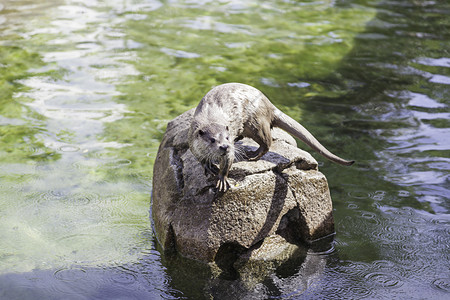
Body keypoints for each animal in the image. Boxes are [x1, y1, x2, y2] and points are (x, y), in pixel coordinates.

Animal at [187, 82, 356, 192]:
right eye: (213, 140)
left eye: (227, 138)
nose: (224, 146)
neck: (210, 118)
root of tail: (268, 104)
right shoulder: (192, 143)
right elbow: (200, 159)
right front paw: (208, 166)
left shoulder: (231, 150)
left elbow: (228, 161)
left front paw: (222, 179)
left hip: (256, 123)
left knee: (267, 142)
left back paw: (252, 155)